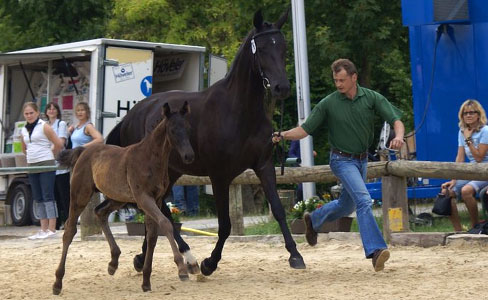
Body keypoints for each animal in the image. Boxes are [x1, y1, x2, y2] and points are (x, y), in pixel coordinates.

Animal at [106, 8, 304, 276]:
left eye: (283, 48)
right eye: (261, 49)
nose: (282, 87)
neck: (239, 112)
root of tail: (131, 115)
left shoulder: (263, 166)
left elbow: (279, 210)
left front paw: (295, 255)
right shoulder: (220, 176)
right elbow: (225, 225)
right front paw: (210, 263)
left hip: (171, 172)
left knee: (155, 210)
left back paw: (143, 257)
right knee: (159, 211)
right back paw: (187, 257)